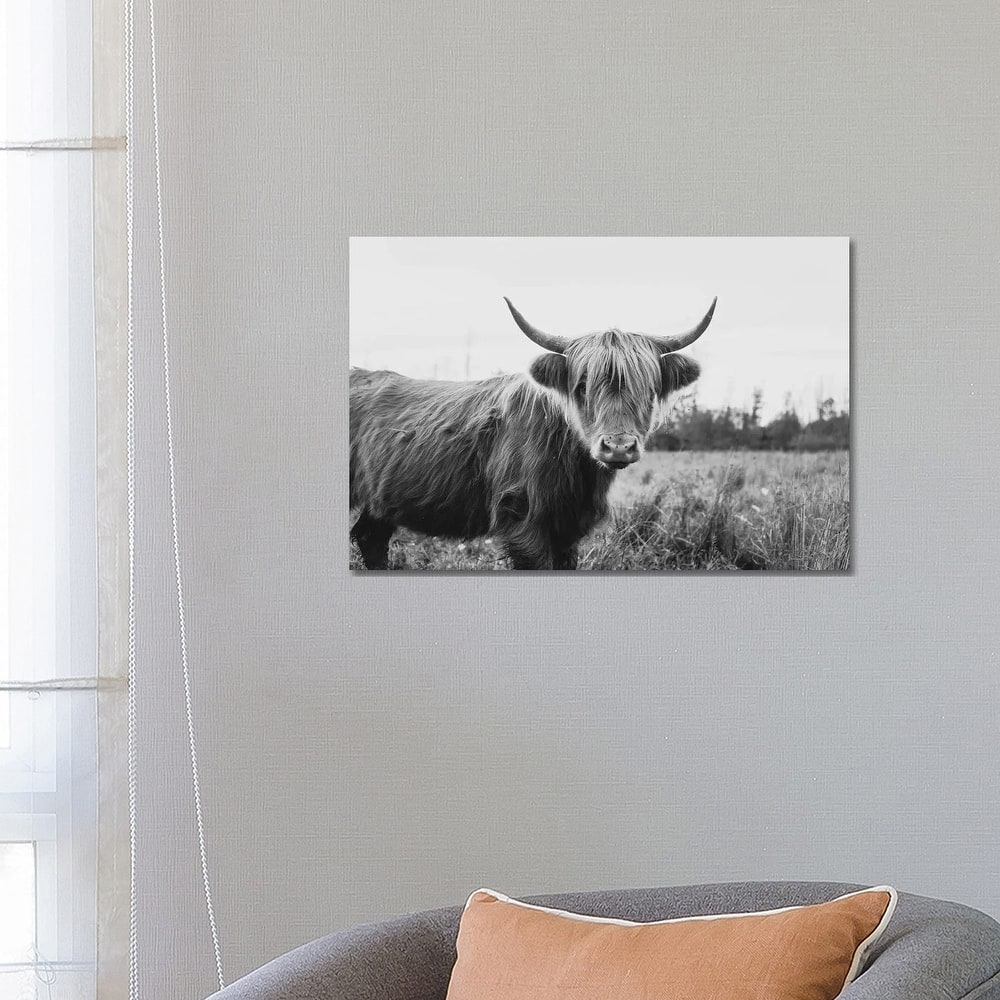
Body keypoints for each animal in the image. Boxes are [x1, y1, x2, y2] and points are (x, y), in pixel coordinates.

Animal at [350, 295, 717, 570]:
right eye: (582, 386)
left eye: (650, 388)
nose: (618, 446)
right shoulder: (521, 518)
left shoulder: (569, 529)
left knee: (371, 538)